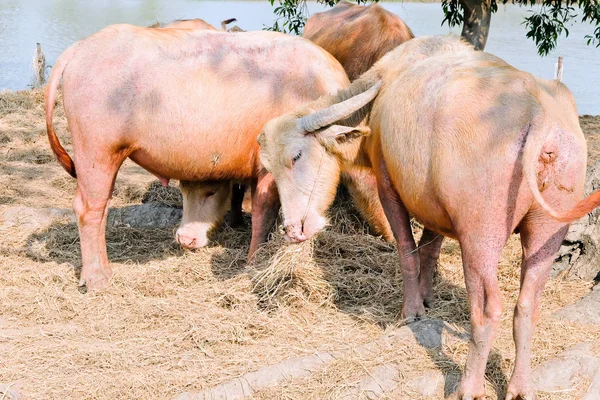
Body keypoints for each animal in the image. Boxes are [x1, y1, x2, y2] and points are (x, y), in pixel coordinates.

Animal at [258, 36, 600, 398]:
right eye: (270, 167)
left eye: (296, 155)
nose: (293, 229)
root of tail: (538, 114)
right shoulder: (434, 206)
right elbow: (430, 249)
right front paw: (426, 296)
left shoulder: (388, 187)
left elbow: (408, 252)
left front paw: (411, 311)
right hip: (548, 233)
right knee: (527, 307)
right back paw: (520, 386)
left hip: (480, 235)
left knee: (487, 309)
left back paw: (468, 386)